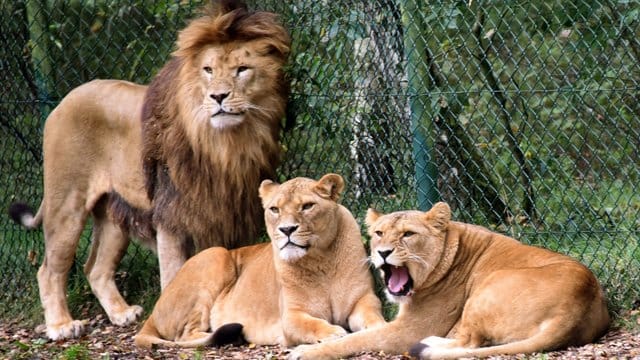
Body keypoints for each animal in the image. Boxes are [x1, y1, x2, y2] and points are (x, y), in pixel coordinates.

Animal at [8, 0, 288, 340]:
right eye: (207, 70)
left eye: (242, 69)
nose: (218, 97)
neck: (225, 145)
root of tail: (63, 100)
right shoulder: (171, 216)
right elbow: (175, 274)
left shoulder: (224, 213)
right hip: (67, 203)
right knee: (49, 269)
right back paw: (61, 326)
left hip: (114, 214)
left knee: (95, 269)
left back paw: (121, 314)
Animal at [134, 174, 384, 348]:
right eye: (274, 209)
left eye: (307, 206)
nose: (287, 229)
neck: (321, 260)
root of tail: (154, 310)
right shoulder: (290, 316)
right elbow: (311, 324)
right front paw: (334, 333)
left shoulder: (363, 300)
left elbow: (372, 315)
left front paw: (380, 327)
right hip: (216, 254)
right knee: (183, 335)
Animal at [290, 202, 608, 360]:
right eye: (379, 233)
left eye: (408, 234)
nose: (383, 252)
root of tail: (575, 308)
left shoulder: (407, 330)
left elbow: (355, 339)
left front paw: (306, 351)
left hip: (488, 286)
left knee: (471, 342)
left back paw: (428, 342)